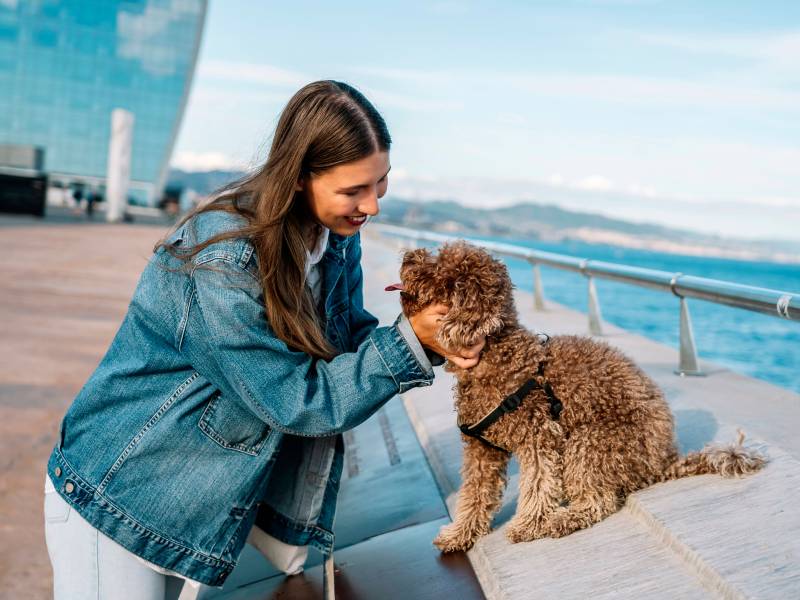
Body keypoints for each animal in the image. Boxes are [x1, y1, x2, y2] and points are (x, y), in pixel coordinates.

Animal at [390, 241, 764, 552]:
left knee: (599, 500)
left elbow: (538, 483)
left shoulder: (540, 434)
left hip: (591, 442)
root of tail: (664, 460)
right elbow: (474, 495)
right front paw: (459, 535)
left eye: (439, 271)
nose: (409, 256)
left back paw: (561, 519)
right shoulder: (482, 450)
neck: (495, 355)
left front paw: (528, 525)